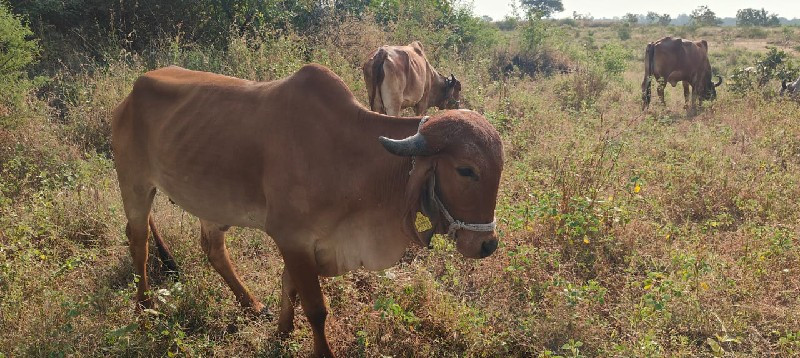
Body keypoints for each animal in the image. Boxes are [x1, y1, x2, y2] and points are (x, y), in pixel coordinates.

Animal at [111, 63, 504, 356]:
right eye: (466, 170)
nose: (487, 245)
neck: (350, 156)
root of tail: (132, 92)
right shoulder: (292, 237)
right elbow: (315, 308)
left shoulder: (305, 244)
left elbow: (290, 287)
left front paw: (282, 333)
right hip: (135, 184)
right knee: (138, 241)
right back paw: (144, 307)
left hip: (211, 201)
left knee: (213, 249)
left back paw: (251, 305)